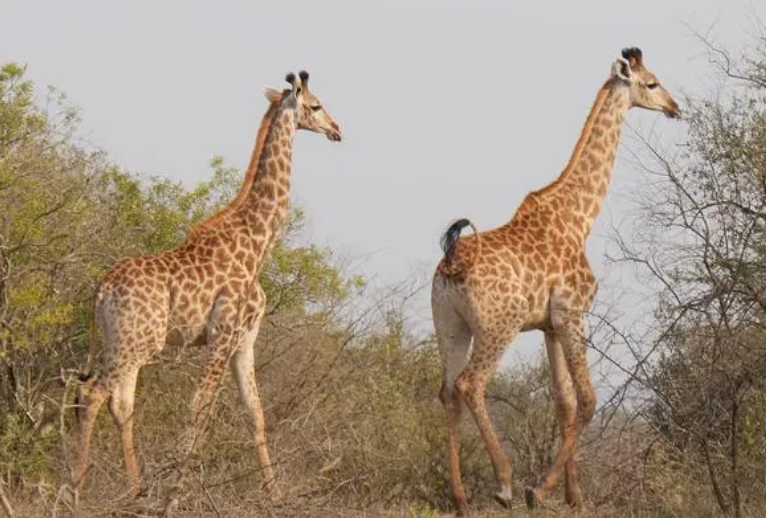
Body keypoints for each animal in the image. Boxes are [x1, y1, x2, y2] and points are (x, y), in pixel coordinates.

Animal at [73, 71, 344, 502]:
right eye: (316, 105)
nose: (337, 130)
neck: (258, 242)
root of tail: (102, 290)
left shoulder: (245, 339)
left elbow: (254, 412)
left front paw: (274, 495)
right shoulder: (222, 334)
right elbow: (199, 409)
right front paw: (176, 491)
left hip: (121, 342)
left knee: (121, 404)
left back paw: (135, 491)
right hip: (139, 342)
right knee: (92, 395)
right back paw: (77, 489)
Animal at [432, 45, 684, 516]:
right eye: (652, 82)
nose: (675, 107)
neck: (579, 217)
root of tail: (451, 264)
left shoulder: (548, 325)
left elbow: (564, 403)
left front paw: (574, 494)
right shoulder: (572, 312)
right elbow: (587, 400)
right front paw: (541, 490)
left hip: (450, 325)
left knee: (447, 392)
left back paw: (459, 496)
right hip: (499, 325)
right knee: (471, 383)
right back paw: (504, 484)